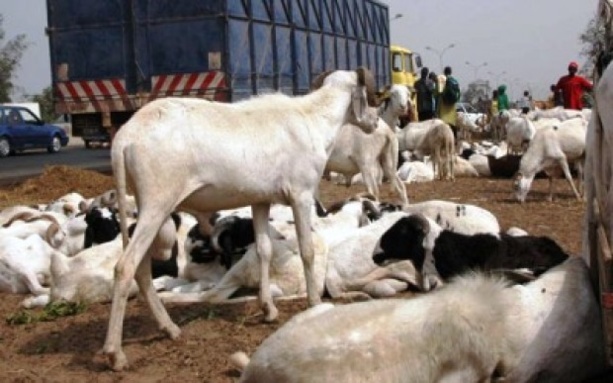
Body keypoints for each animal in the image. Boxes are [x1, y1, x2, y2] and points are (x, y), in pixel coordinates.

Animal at [103, 68, 380, 372]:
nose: (375, 122)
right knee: (125, 267)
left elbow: (263, 250)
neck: (314, 118)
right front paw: (314, 302)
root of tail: (124, 137)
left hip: (147, 205)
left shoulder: (261, 200)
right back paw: (115, 353)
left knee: (141, 270)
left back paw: (170, 328)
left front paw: (268, 309)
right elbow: (306, 250)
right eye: (369, 96)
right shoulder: (301, 195)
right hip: (157, 201)